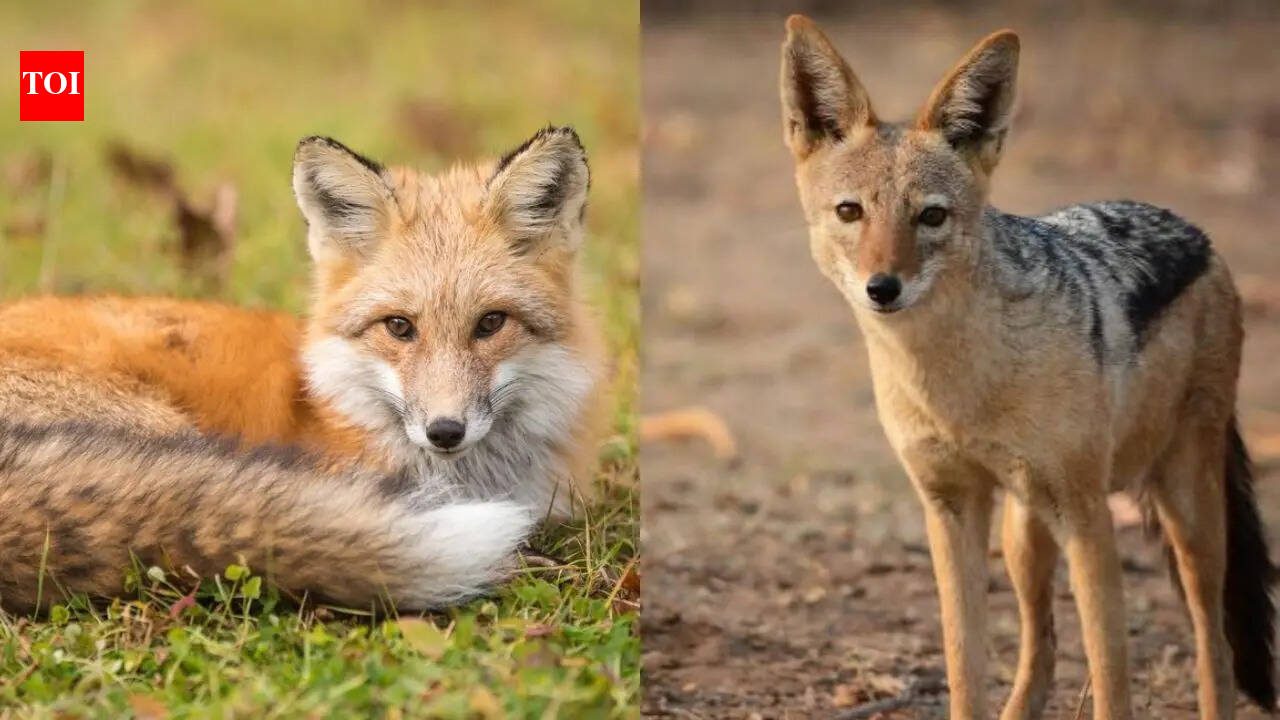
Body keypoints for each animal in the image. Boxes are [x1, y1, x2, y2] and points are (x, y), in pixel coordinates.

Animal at [780, 16, 1275, 720]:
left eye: (931, 216)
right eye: (851, 212)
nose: (883, 288)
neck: (958, 385)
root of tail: (1194, 232)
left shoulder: (1088, 517)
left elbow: (1112, 679)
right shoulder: (950, 508)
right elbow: (964, 668)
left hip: (1187, 517)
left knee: (1217, 645)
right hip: (1023, 532)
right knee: (1041, 644)